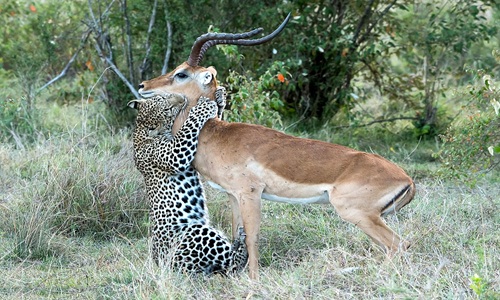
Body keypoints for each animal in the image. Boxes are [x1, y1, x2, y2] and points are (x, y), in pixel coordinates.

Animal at [127, 89, 248, 276]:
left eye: (163, 97)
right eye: (167, 109)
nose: (182, 98)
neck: (142, 130)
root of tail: (167, 266)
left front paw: (220, 98)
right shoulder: (175, 153)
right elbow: (189, 125)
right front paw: (202, 106)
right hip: (195, 232)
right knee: (232, 267)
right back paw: (241, 244)